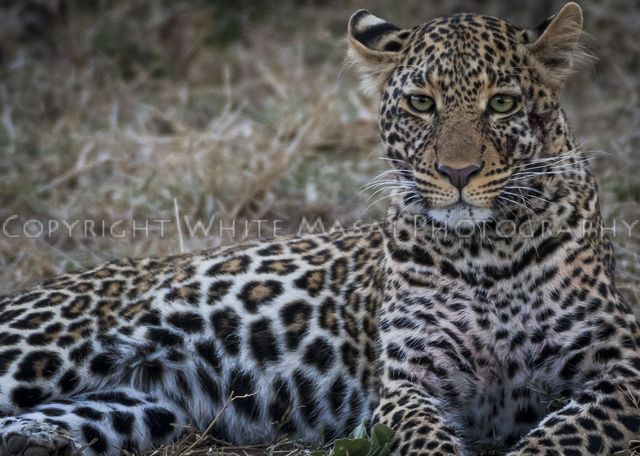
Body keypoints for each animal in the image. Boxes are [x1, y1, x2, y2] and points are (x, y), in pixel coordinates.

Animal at [1, 3, 639, 456]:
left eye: (503, 103)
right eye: (421, 104)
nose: (458, 173)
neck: (488, 253)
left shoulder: (622, 369)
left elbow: (556, 440)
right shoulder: (407, 384)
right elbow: (424, 440)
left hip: (137, 406)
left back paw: (32, 442)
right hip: (43, 348)